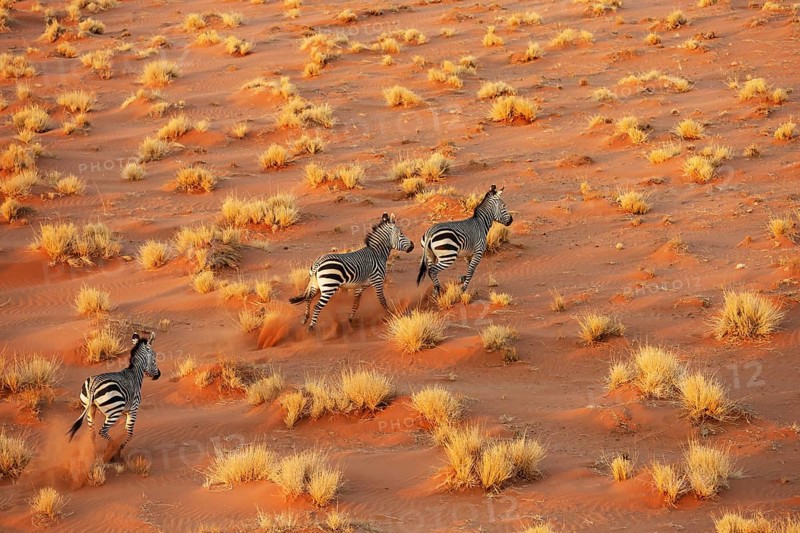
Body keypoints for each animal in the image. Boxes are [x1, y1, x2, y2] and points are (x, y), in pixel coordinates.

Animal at [67, 332, 161, 460]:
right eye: (155, 357)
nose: (158, 375)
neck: (135, 373)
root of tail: (93, 385)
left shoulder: (126, 411)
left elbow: (126, 431)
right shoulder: (133, 409)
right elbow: (129, 432)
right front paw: (119, 449)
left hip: (90, 409)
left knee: (92, 432)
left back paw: (96, 453)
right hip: (114, 412)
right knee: (102, 431)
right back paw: (112, 450)